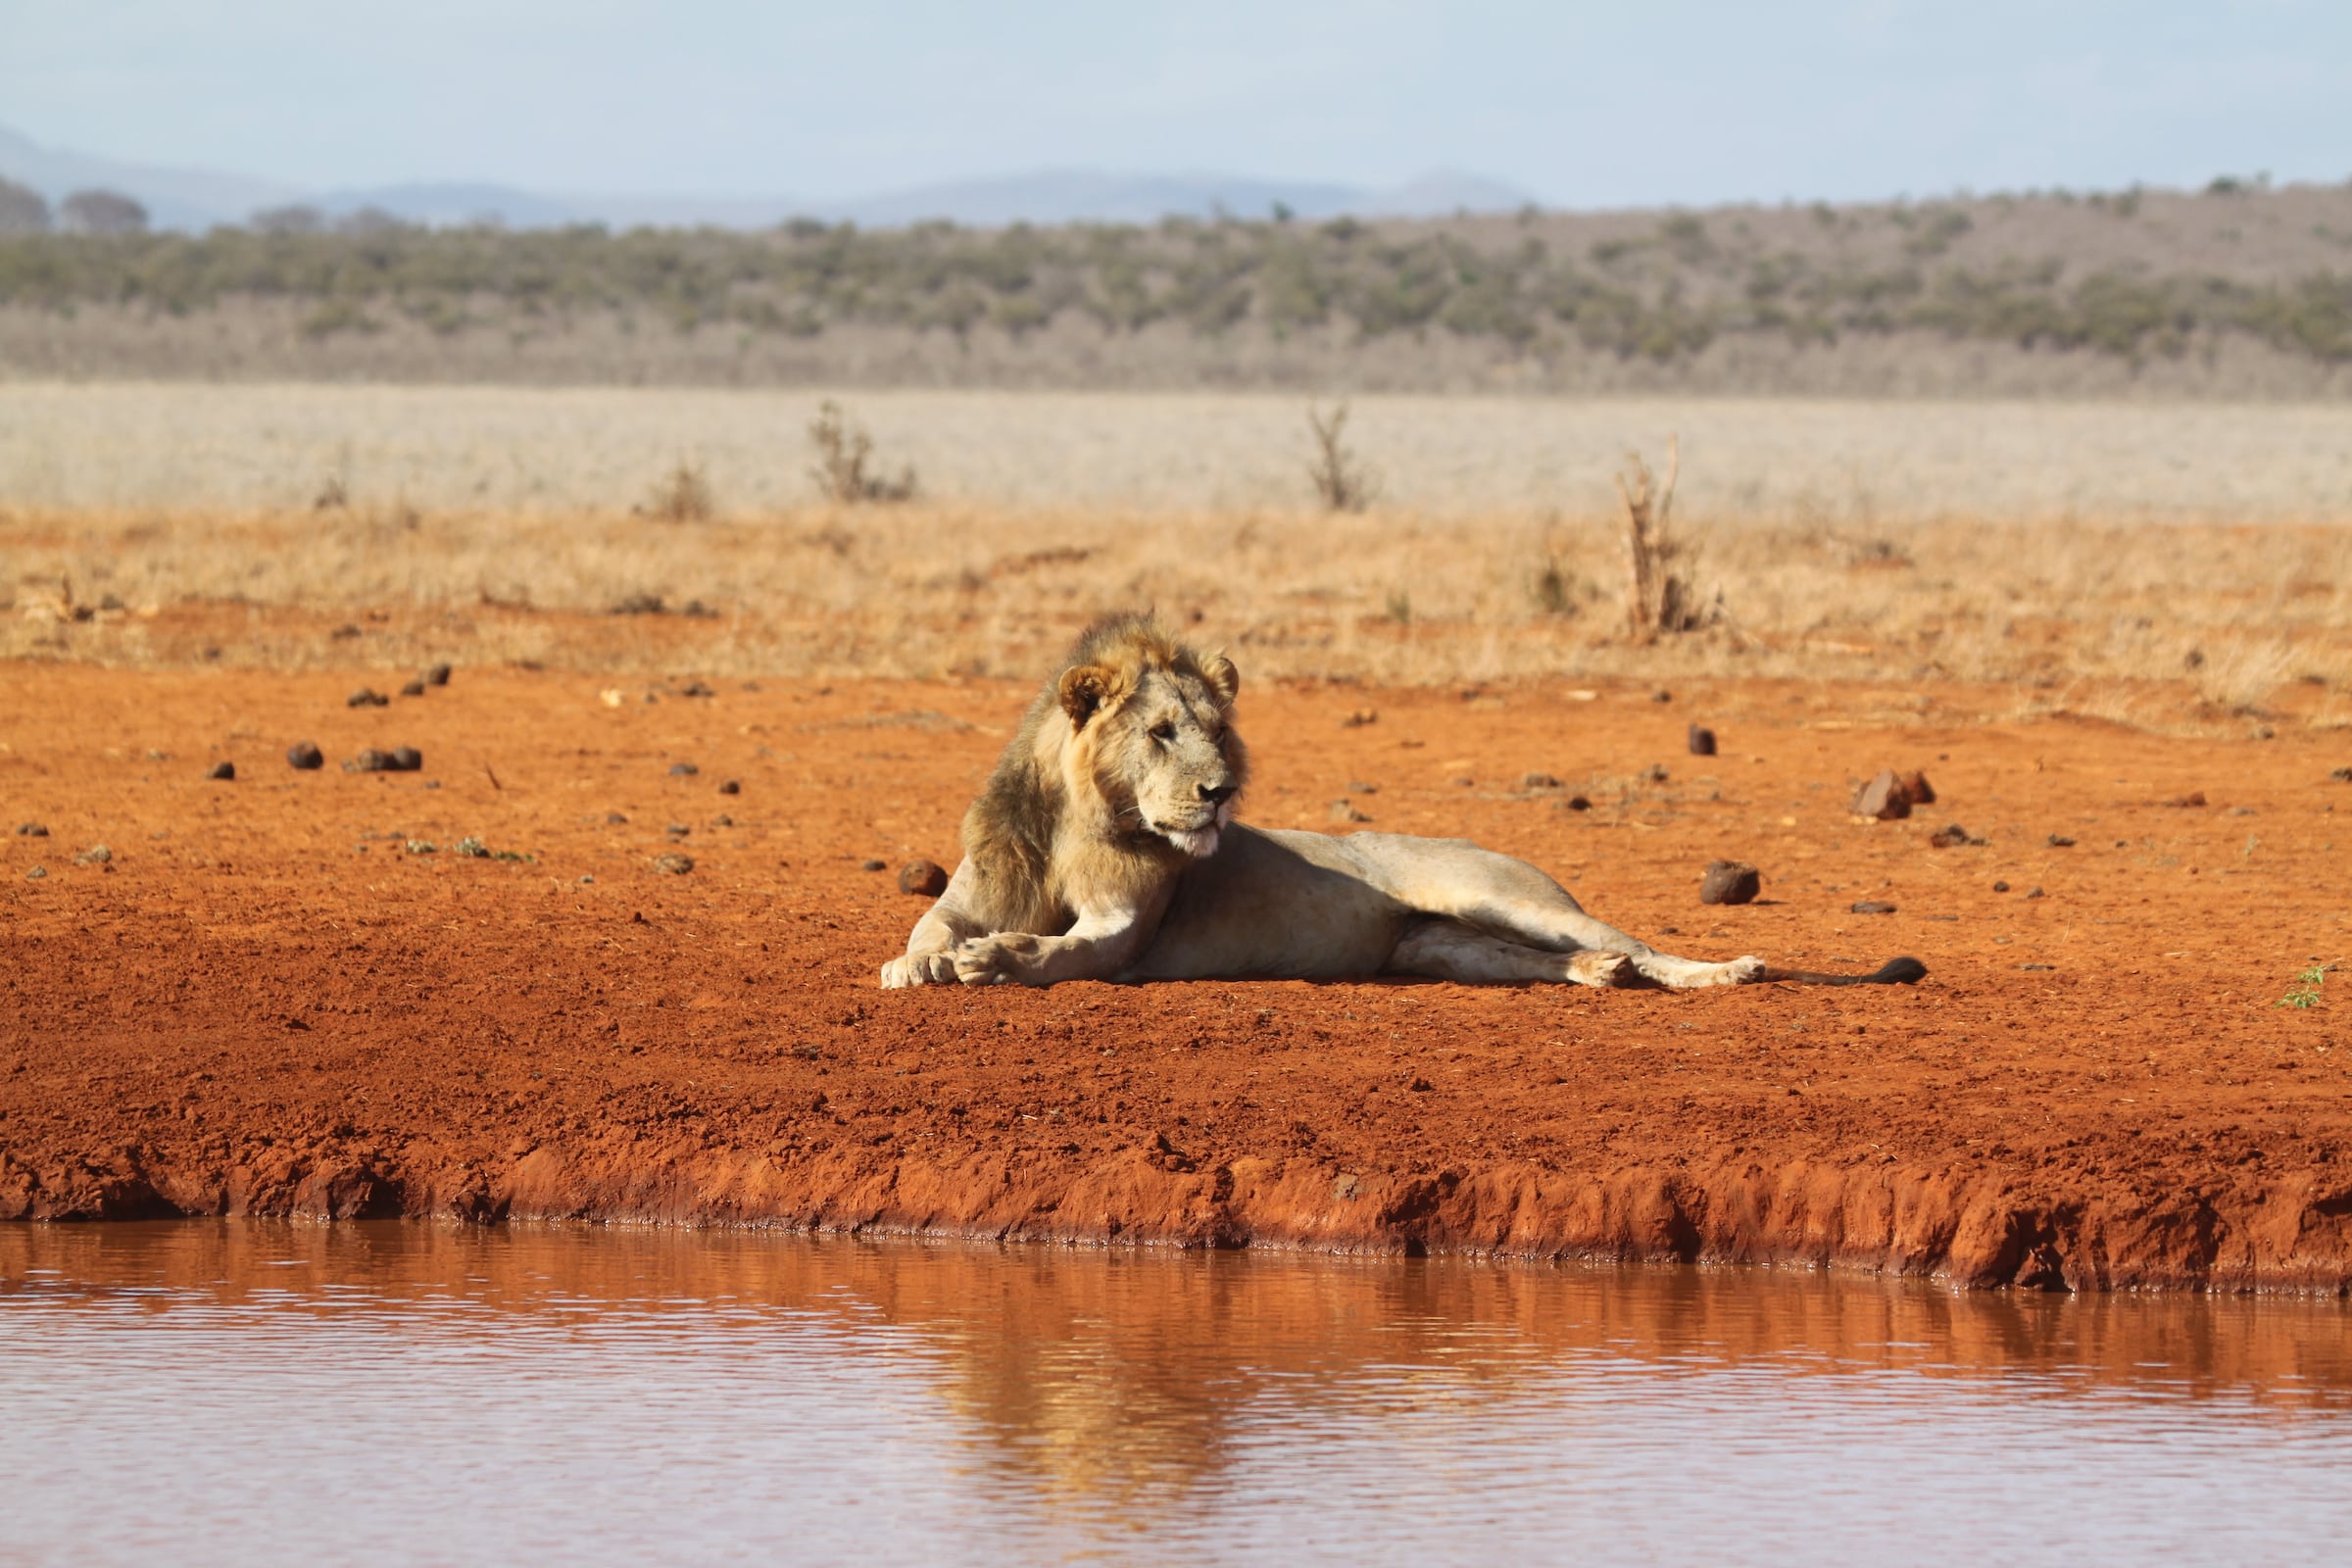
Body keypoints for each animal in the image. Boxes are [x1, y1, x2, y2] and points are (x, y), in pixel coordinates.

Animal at [881, 614, 1925, 991]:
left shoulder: (1126, 931)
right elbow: (926, 928)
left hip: (1500, 896)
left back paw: (1724, 971)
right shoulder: (969, 890)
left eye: (1215, 728)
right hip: (1441, 945)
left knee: (1639, 941)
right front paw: (919, 964)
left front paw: (995, 960)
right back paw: (1599, 978)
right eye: (1163, 732)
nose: (1219, 793)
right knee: (1548, 962)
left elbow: (1061, 951)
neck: (1080, 821)